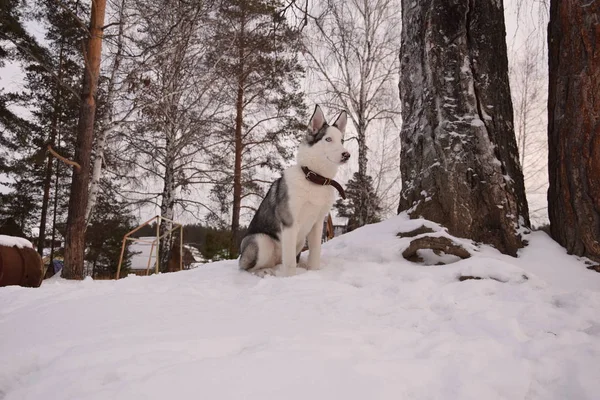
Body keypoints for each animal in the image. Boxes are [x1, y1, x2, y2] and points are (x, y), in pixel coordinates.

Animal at [239, 104, 350, 276]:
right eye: (328, 139)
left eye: (342, 141)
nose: (347, 155)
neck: (314, 179)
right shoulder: (289, 223)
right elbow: (291, 262)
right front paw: (290, 278)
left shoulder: (318, 224)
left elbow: (315, 254)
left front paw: (313, 271)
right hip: (261, 241)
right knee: (247, 268)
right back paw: (263, 272)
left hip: (299, 241)